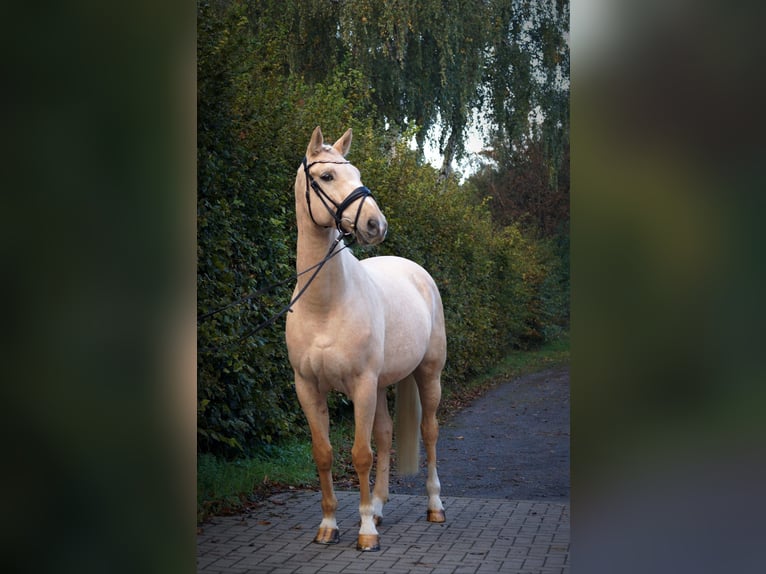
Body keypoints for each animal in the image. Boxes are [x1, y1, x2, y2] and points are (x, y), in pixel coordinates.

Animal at [284, 127, 448, 552]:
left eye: (356, 173)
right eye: (326, 176)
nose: (376, 225)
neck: (325, 305)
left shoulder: (361, 384)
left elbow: (360, 454)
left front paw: (365, 533)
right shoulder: (308, 387)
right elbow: (324, 454)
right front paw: (329, 525)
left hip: (427, 375)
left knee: (429, 433)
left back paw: (434, 506)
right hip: (380, 385)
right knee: (387, 435)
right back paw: (377, 506)